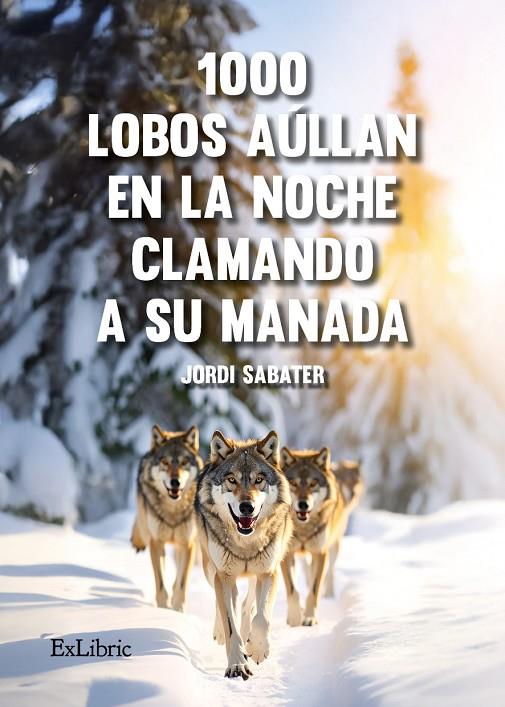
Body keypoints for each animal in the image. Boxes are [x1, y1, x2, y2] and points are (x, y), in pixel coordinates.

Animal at [131, 424, 202, 611]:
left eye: (184, 462)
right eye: (165, 462)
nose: (175, 482)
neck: (173, 509)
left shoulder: (187, 544)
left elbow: (181, 584)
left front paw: (178, 611)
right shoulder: (156, 542)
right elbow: (161, 583)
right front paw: (163, 610)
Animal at [195, 430, 292, 680]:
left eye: (259, 480)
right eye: (232, 480)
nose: (246, 507)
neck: (245, 541)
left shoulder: (269, 572)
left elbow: (262, 616)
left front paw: (257, 648)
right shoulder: (223, 576)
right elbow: (230, 624)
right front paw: (237, 665)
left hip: (254, 575)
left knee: (248, 604)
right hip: (210, 570)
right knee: (229, 602)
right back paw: (220, 631)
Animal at [280, 446, 347, 626]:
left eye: (313, 483)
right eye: (293, 483)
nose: (303, 504)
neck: (304, 528)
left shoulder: (319, 553)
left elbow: (314, 590)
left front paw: (310, 618)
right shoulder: (287, 554)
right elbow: (292, 590)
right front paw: (294, 618)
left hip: (334, 547)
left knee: (328, 572)